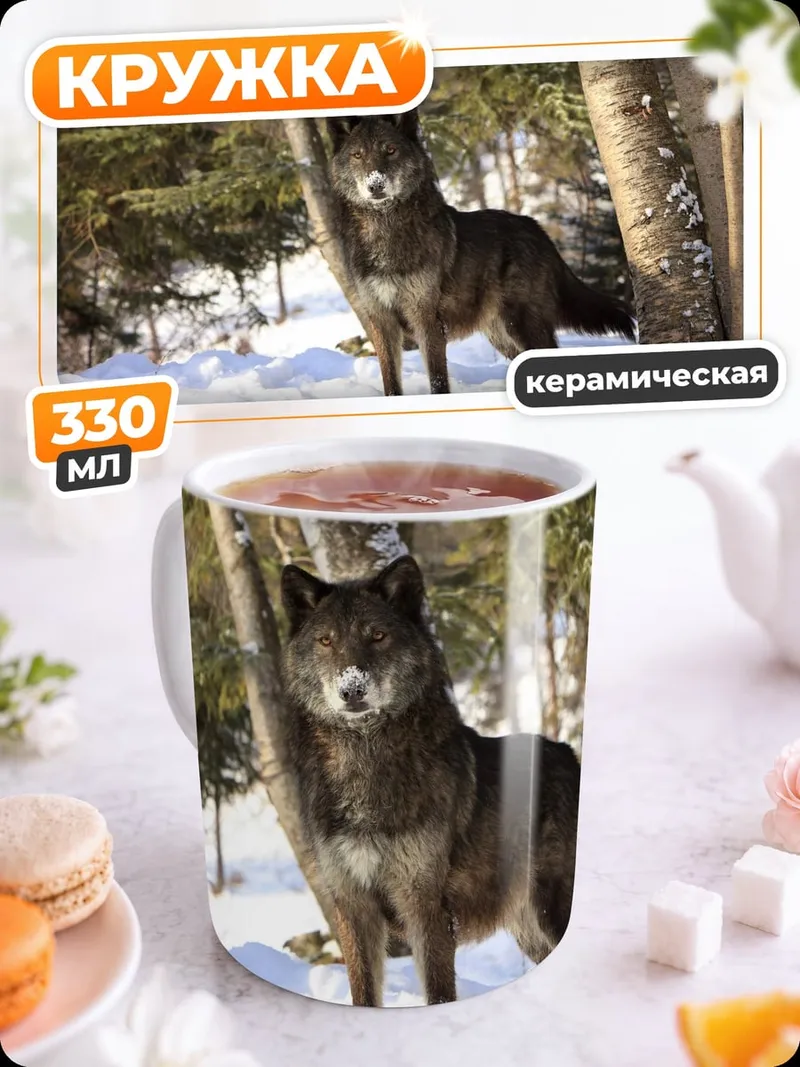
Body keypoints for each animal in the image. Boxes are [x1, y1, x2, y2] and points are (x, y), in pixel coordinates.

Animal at [280, 554, 581, 1007]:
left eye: (378, 636)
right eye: (326, 641)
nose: (352, 688)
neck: (365, 764)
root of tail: (571, 755)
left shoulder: (424, 905)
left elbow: (439, 993)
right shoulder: (353, 906)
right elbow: (363, 993)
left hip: (551, 913)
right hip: (530, 928)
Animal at [327, 110, 636, 397]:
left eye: (390, 150)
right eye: (357, 155)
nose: (375, 185)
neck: (385, 232)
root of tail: (537, 229)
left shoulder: (427, 321)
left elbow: (438, 382)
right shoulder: (381, 322)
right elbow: (391, 384)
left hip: (523, 326)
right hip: (502, 335)